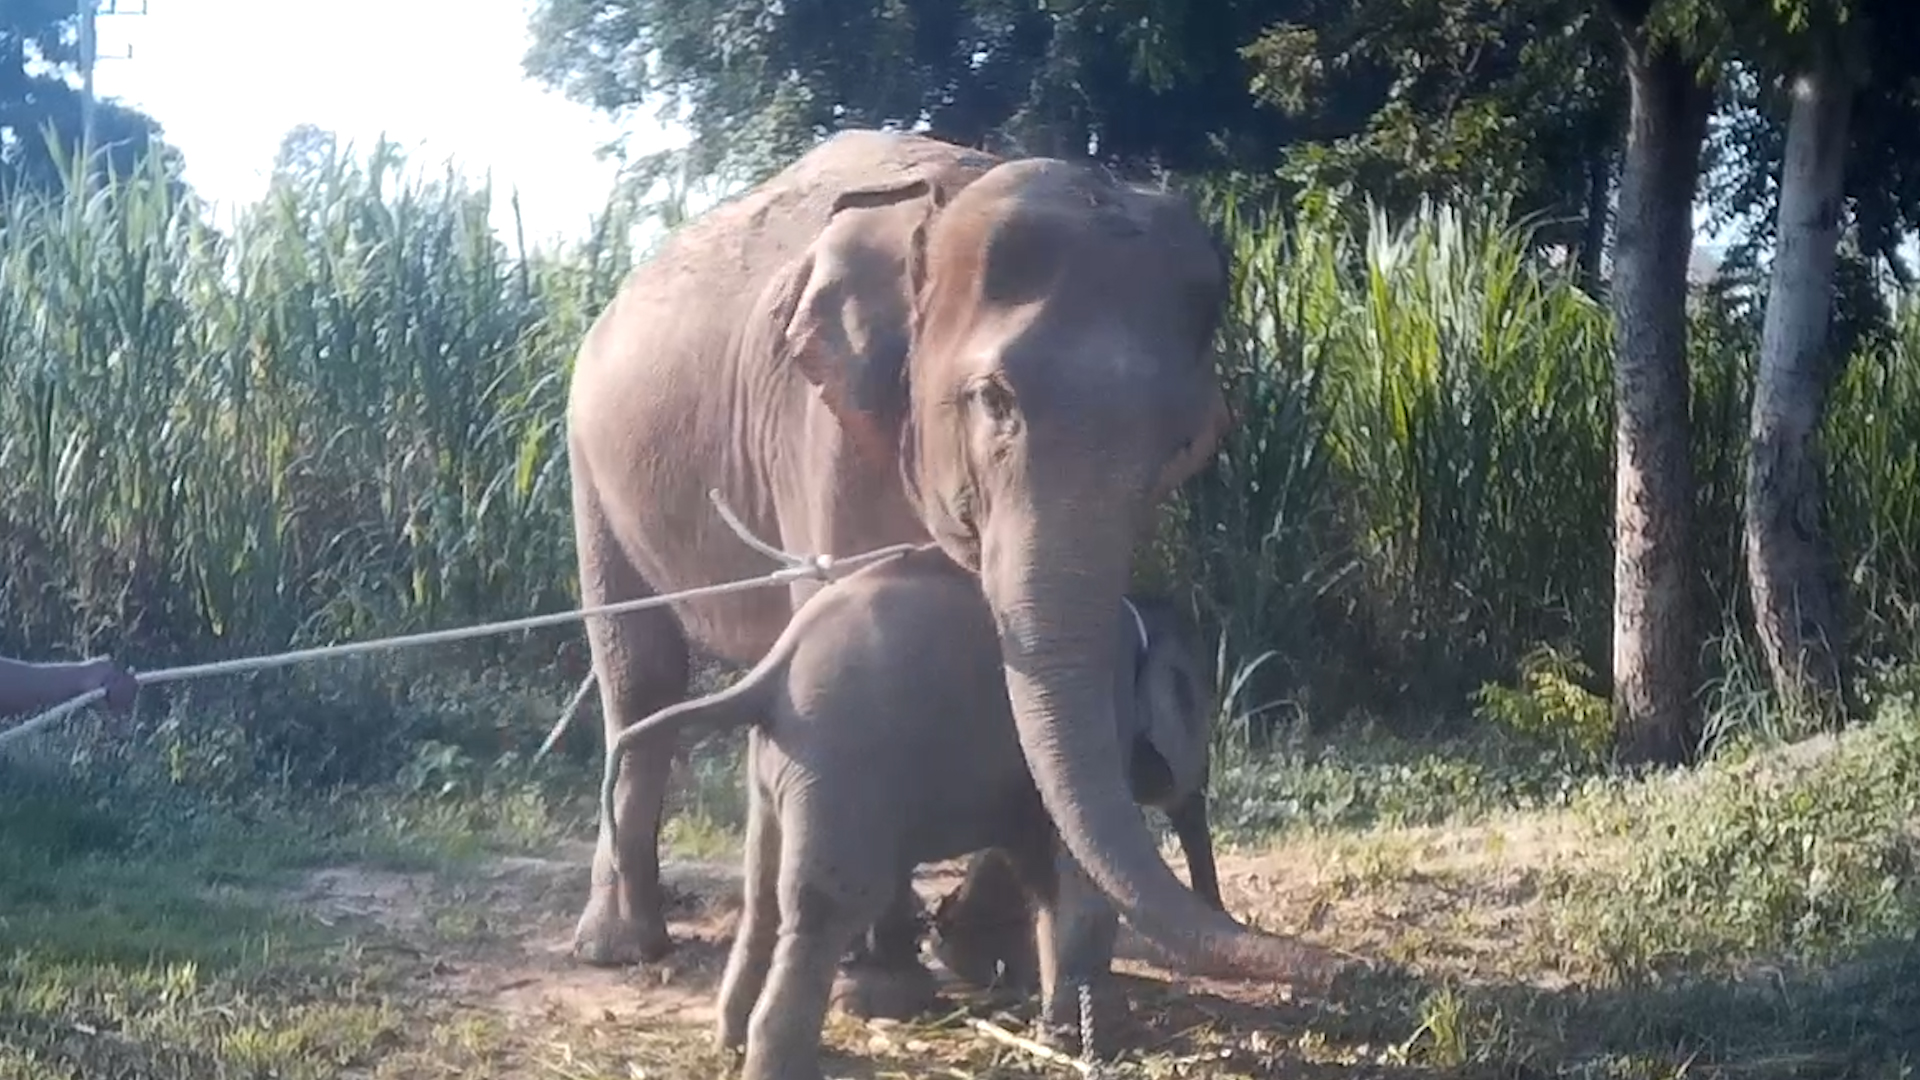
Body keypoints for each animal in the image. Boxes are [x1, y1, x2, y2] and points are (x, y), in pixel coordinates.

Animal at [568, 123, 1344, 983]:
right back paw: (620, 947)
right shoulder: (821, 429)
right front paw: (885, 974)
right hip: (590, 460)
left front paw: (971, 953)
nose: (1342, 965)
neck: (944, 204)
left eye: (1184, 442)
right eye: (993, 401)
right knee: (642, 671)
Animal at [602, 545, 1213, 1076]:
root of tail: (770, 672)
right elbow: (1074, 873)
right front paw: (1102, 1038)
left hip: (778, 766)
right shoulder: (1102, 719)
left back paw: (728, 1045)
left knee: (763, 897)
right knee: (828, 905)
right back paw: (779, 1065)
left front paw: (1063, 1033)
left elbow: (1043, 873)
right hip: (840, 764)